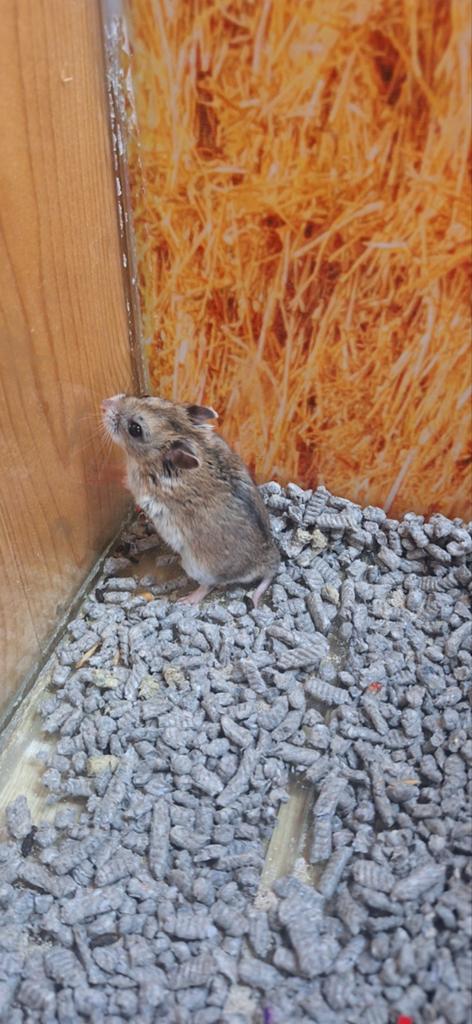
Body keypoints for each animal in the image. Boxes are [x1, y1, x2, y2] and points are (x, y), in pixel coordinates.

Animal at [101, 394, 280, 606]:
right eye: (146, 396)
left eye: (135, 429)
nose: (104, 404)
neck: (190, 436)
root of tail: (267, 563)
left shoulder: (137, 482)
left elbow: (125, 482)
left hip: (197, 566)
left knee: (209, 585)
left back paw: (187, 599)